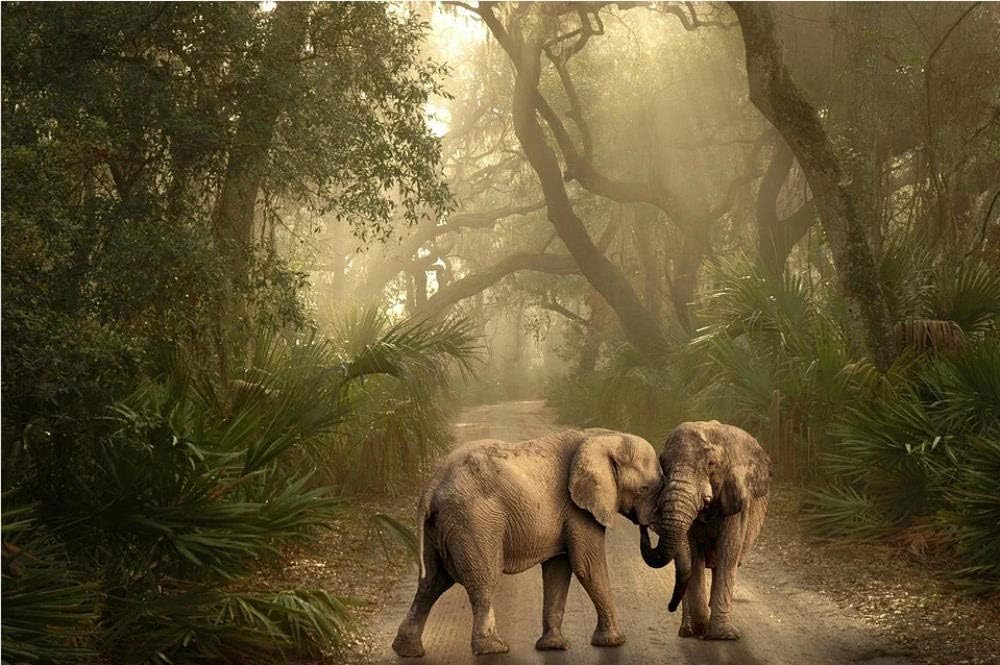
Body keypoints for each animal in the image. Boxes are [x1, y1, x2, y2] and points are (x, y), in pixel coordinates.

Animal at [392, 428, 663, 657]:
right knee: (483, 579)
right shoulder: (578, 509)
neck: (604, 436)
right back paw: (494, 649)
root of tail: (431, 487)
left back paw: (408, 651)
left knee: (432, 582)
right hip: (473, 522)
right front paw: (615, 642)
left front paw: (553, 647)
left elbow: (558, 569)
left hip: (439, 528)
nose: (644, 526)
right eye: (644, 489)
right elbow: (587, 566)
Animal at [639, 420, 770, 641]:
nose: (669, 607)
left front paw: (723, 636)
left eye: (711, 465)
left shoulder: (736, 499)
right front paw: (702, 628)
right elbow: (693, 556)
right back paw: (687, 631)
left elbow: (728, 553)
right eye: (663, 464)